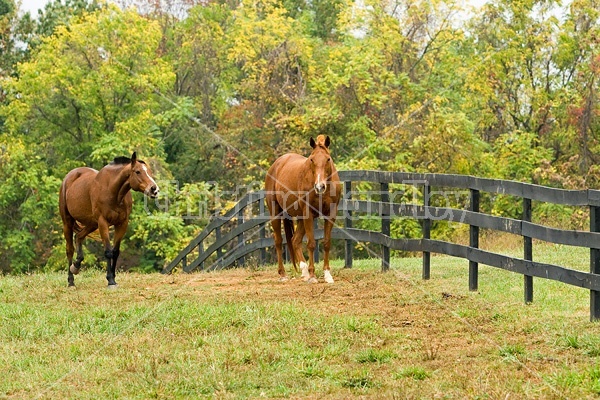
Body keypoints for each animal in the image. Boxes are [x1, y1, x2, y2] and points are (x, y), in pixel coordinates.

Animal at [56, 153, 158, 288]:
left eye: (150, 172)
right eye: (137, 171)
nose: (154, 189)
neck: (112, 191)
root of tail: (69, 177)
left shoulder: (122, 224)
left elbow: (115, 251)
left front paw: (113, 277)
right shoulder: (103, 223)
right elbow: (108, 251)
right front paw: (110, 280)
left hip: (92, 224)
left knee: (79, 237)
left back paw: (76, 266)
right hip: (68, 222)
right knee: (69, 249)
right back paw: (71, 280)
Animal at [264, 136, 340, 282]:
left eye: (328, 159)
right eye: (312, 159)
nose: (319, 186)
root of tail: (276, 164)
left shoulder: (331, 214)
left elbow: (326, 243)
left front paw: (327, 274)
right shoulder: (308, 213)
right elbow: (311, 244)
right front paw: (312, 275)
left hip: (300, 218)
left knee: (295, 240)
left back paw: (304, 271)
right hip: (276, 213)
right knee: (278, 241)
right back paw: (283, 274)